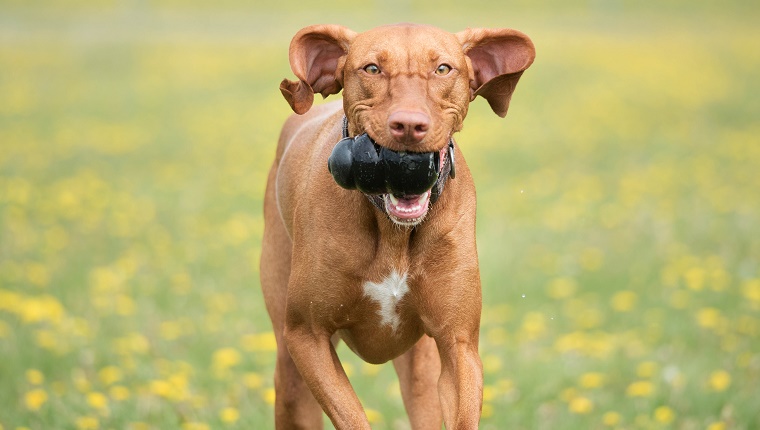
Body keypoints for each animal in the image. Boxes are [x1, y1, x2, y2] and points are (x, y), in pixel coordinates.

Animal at [262, 24, 536, 430]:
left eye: (443, 68)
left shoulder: (458, 343)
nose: (408, 125)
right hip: (291, 377)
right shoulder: (306, 337)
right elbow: (353, 418)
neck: (394, 232)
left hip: (421, 375)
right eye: (372, 69)